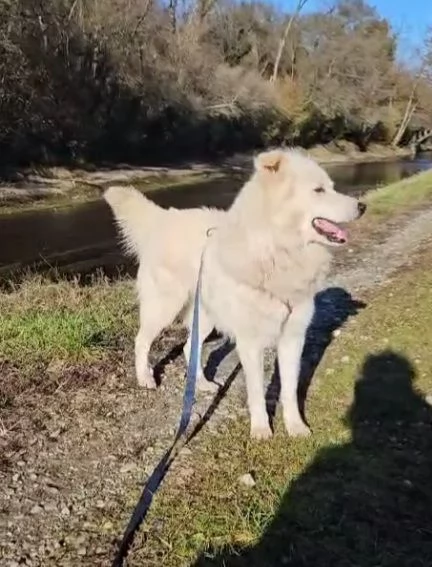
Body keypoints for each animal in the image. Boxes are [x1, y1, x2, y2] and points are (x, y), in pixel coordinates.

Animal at [104, 148, 364, 440]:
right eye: (319, 190)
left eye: (331, 187)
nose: (362, 206)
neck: (277, 251)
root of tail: (164, 218)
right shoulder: (250, 342)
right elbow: (256, 392)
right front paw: (261, 429)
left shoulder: (293, 338)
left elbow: (289, 390)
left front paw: (296, 427)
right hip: (164, 307)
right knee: (142, 341)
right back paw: (145, 378)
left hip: (205, 315)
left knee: (189, 346)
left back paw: (202, 384)